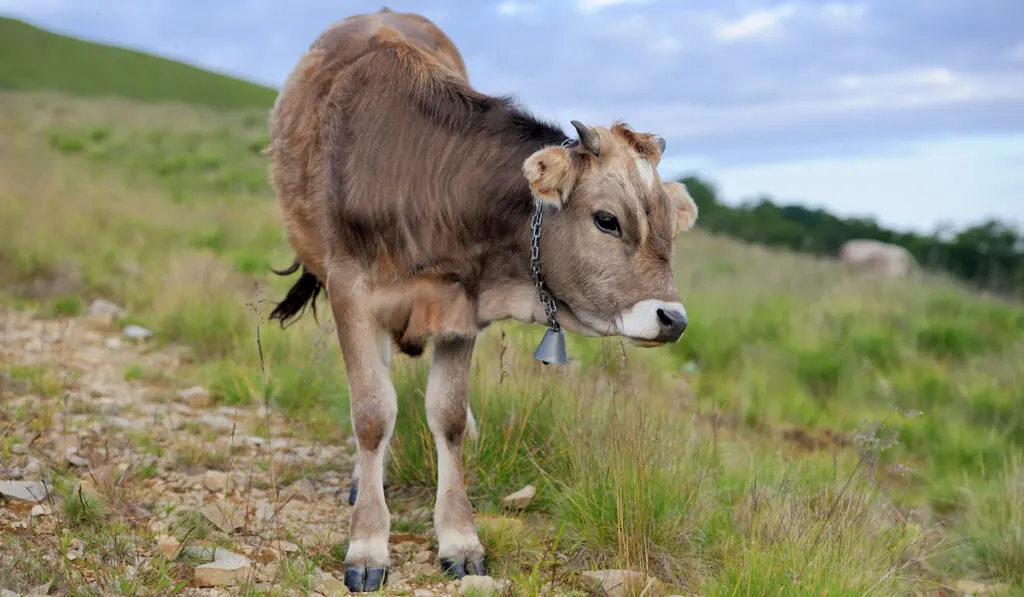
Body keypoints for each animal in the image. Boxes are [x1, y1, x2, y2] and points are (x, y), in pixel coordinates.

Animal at [264, 5, 696, 593]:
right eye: (607, 220)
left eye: (671, 228)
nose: (672, 319)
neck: (419, 173)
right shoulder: (350, 290)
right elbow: (372, 414)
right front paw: (368, 544)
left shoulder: (461, 305)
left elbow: (448, 418)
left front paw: (460, 540)